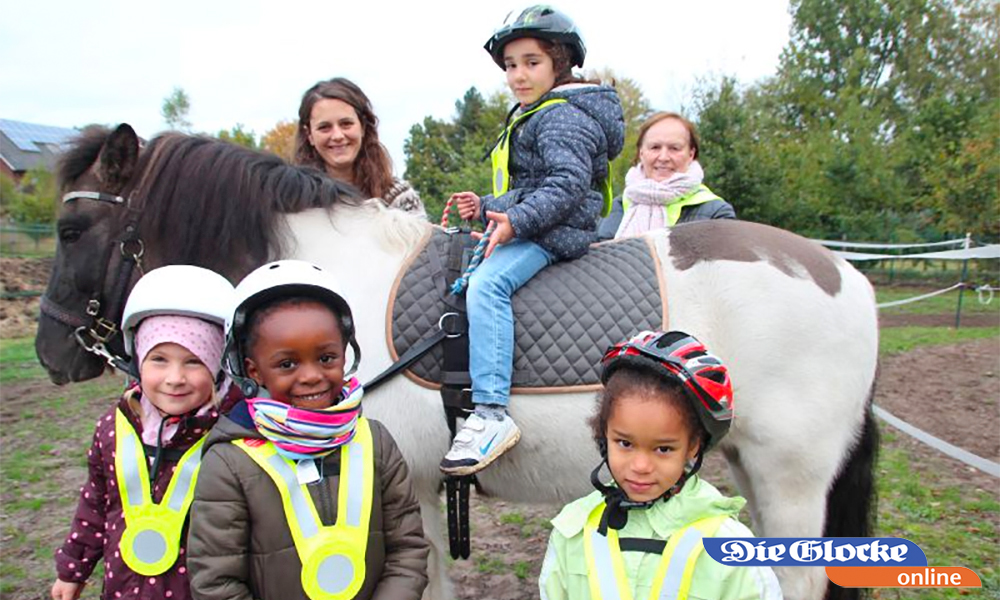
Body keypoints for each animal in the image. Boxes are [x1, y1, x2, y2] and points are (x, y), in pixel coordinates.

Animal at [35, 123, 880, 600]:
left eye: (71, 231)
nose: (48, 352)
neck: (325, 289)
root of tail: (849, 275)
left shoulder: (396, 491)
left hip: (792, 478)